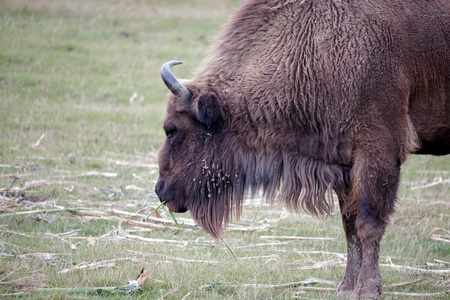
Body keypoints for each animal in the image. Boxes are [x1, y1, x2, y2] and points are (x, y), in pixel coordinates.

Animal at [156, 0, 450, 298]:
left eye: (172, 130)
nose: (160, 190)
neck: (317, 49)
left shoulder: (378, 152)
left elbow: (369, 223)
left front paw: (367, 290)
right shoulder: (344, 164)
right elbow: (350, 225)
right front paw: (345, 288)